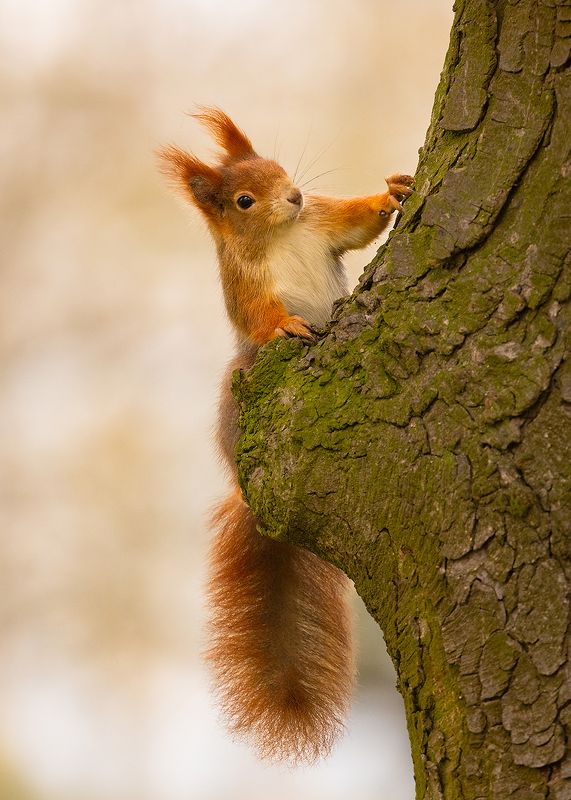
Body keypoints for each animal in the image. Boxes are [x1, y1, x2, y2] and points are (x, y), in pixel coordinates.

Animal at [159, 108, 414, 764]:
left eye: (277, 167)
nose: (294, 195)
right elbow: (258, 316)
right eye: (244, 201)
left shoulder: (321, 221)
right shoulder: (244, 287)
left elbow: (354, 224)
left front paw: (393, 191)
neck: (281, 235)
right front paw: (288, 326)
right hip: (239, 390)